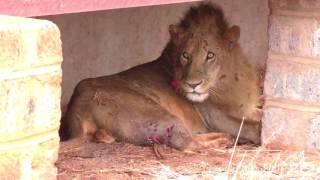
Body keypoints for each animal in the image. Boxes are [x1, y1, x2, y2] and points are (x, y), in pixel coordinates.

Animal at [59, 2, 262, 155]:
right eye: (185, 55)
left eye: (210, 55)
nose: (193, 85)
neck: (226, 82)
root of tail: (77, 106)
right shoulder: (215, 117)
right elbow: (251, 127)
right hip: (156, 112)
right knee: (185, 141)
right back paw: (223, 140)